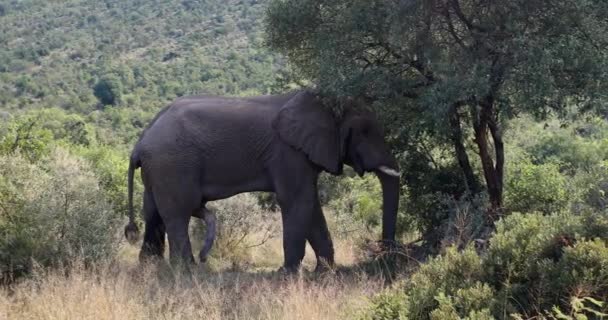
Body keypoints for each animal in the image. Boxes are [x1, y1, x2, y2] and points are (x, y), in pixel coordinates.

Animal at [123, 89, 400, 272]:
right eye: (365, 131)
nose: (384, 259)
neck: (323, 102)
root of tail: (140, 142)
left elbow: (311, 205)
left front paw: (325, 273)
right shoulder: (287, 152)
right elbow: (298, 201)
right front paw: (288, 275)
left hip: (159, 169)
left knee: (153, 213)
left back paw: (151, 268)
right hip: (173, 164)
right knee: (178, 213)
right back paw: (187, 270)